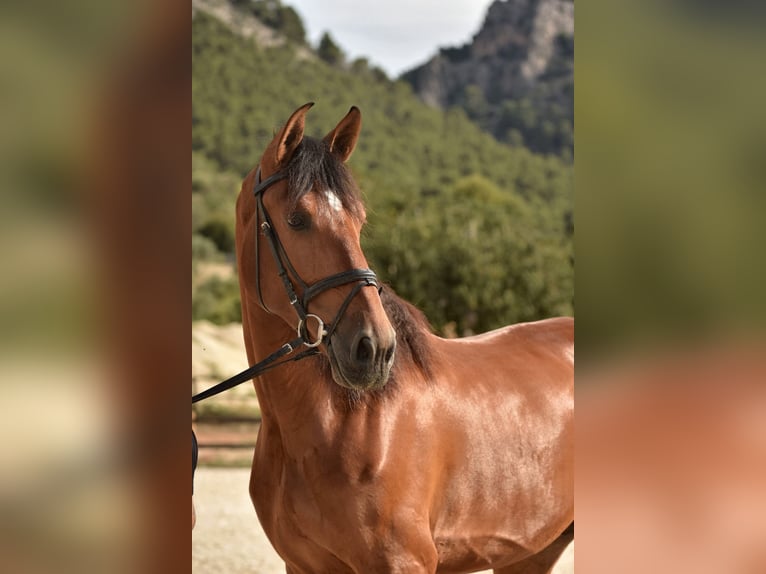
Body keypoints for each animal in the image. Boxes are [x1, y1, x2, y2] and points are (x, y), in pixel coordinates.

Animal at [234, 102, 573, 573]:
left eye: (359, 221)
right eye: (296, 220)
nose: (374, 349)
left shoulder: (402, 562)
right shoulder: (302, 566)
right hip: (534, 551)